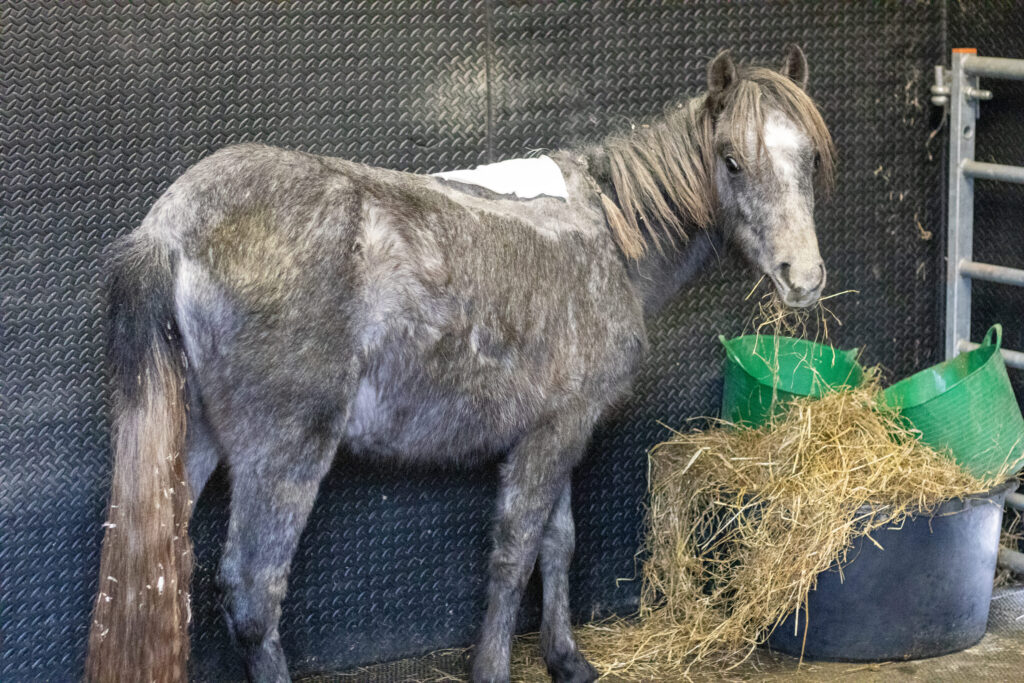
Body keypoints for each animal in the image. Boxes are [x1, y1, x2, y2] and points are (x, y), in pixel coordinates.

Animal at [86, 45, 834, 683]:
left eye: (809, 161)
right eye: (731, 160)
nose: (802, 278)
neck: (607, 238)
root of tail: (171, 227)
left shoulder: (556, 431)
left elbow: (557, 543)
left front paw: (567, 659)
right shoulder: (556, 433)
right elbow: (515, 553)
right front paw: (496, 667)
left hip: (193, 442)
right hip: (284, 453)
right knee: (253, 596)